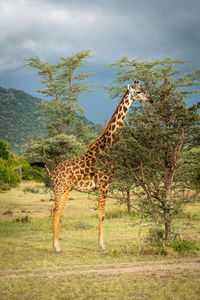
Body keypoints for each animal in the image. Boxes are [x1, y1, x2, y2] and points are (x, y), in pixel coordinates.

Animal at [50, 81, 152, 252]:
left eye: (144, 89)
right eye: (138, 92)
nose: (151, 99)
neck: (108, 145)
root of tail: (54, 171)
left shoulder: (104, 185)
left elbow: (101, 214)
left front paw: (101, 244)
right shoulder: (104, 183)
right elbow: (101, 214)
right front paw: (102, 245)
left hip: (66, 188)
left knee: (55, 211)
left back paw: (55, 244)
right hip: (61, 187)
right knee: (57, 211)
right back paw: (57, 247)